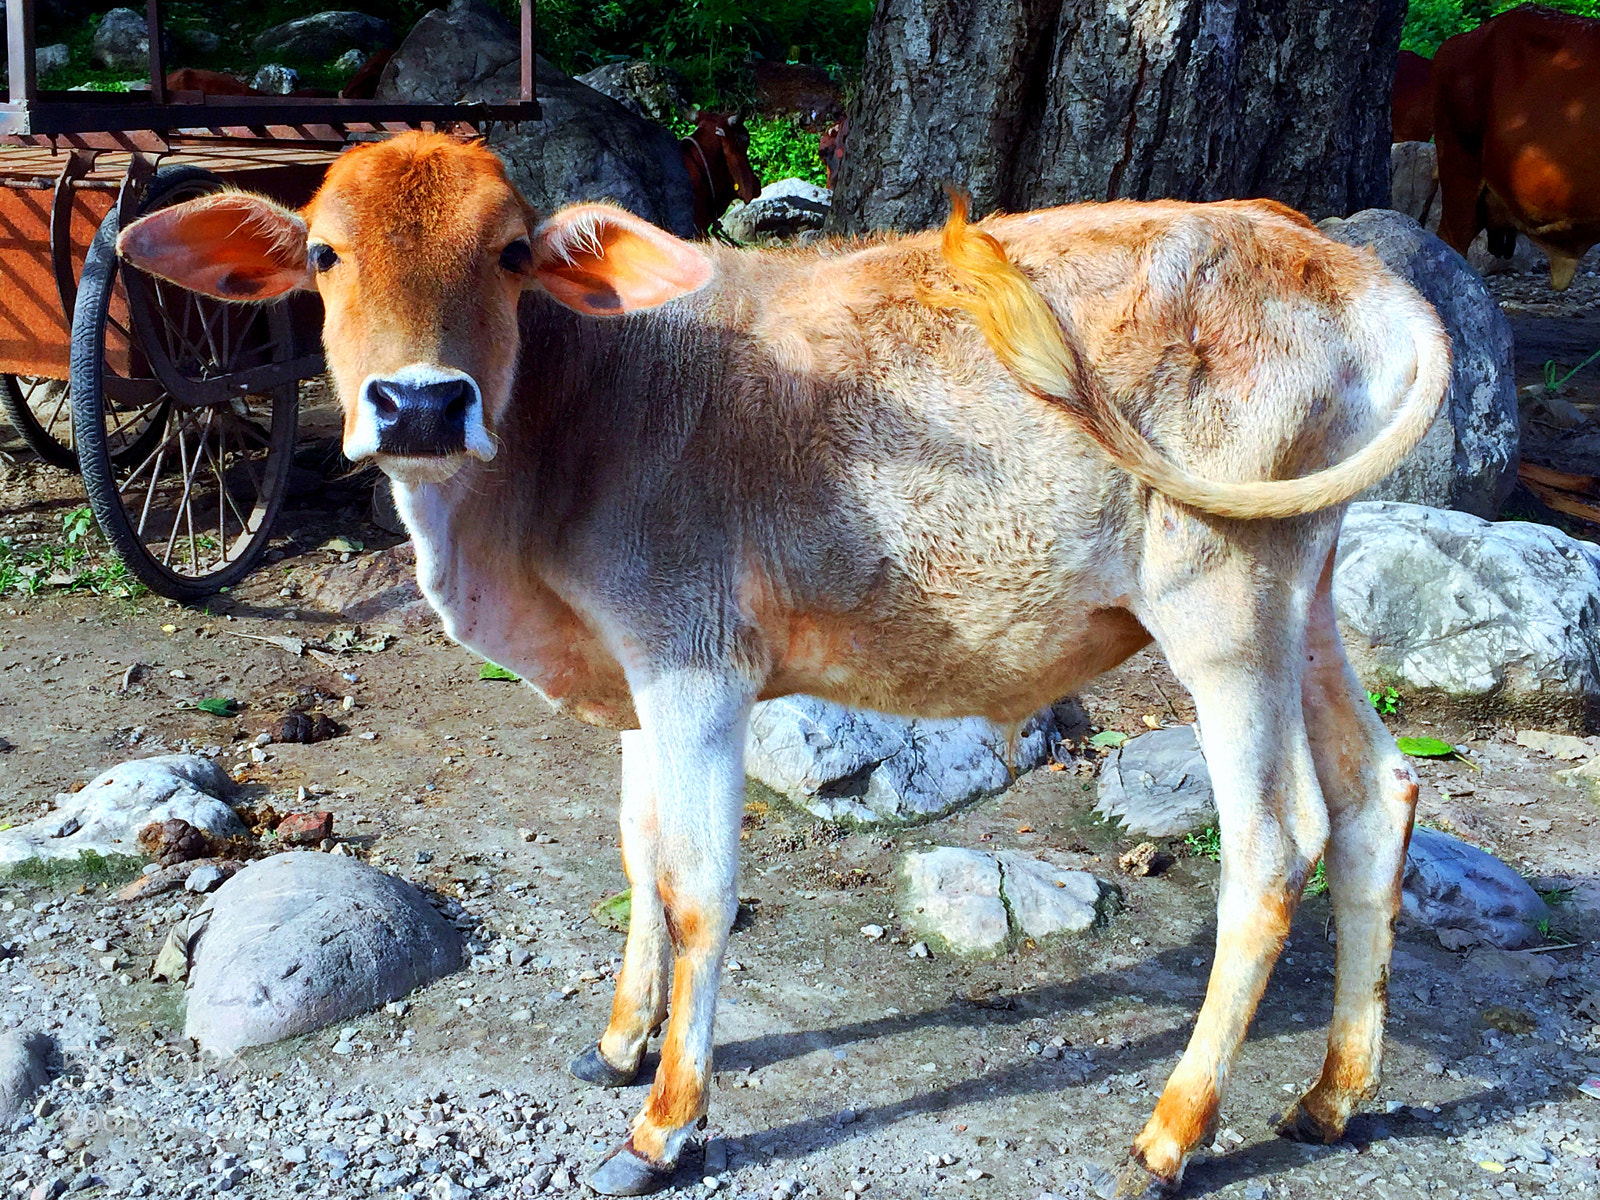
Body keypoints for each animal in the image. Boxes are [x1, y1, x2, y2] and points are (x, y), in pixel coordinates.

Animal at [115, 132, 1449, 1198]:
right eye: (324, 254)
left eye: (509, 253)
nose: (422, 404)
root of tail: (1330, 254)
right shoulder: (639, 675)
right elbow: (639, 857)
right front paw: (621, 1044)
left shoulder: (698, 668)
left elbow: (699, 891)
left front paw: (665, 1126)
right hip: (1301, 597)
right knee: (1377, 796)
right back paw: (1331, 1096)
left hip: (1222, 603)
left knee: (1272, 851)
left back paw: (1169, 1137)